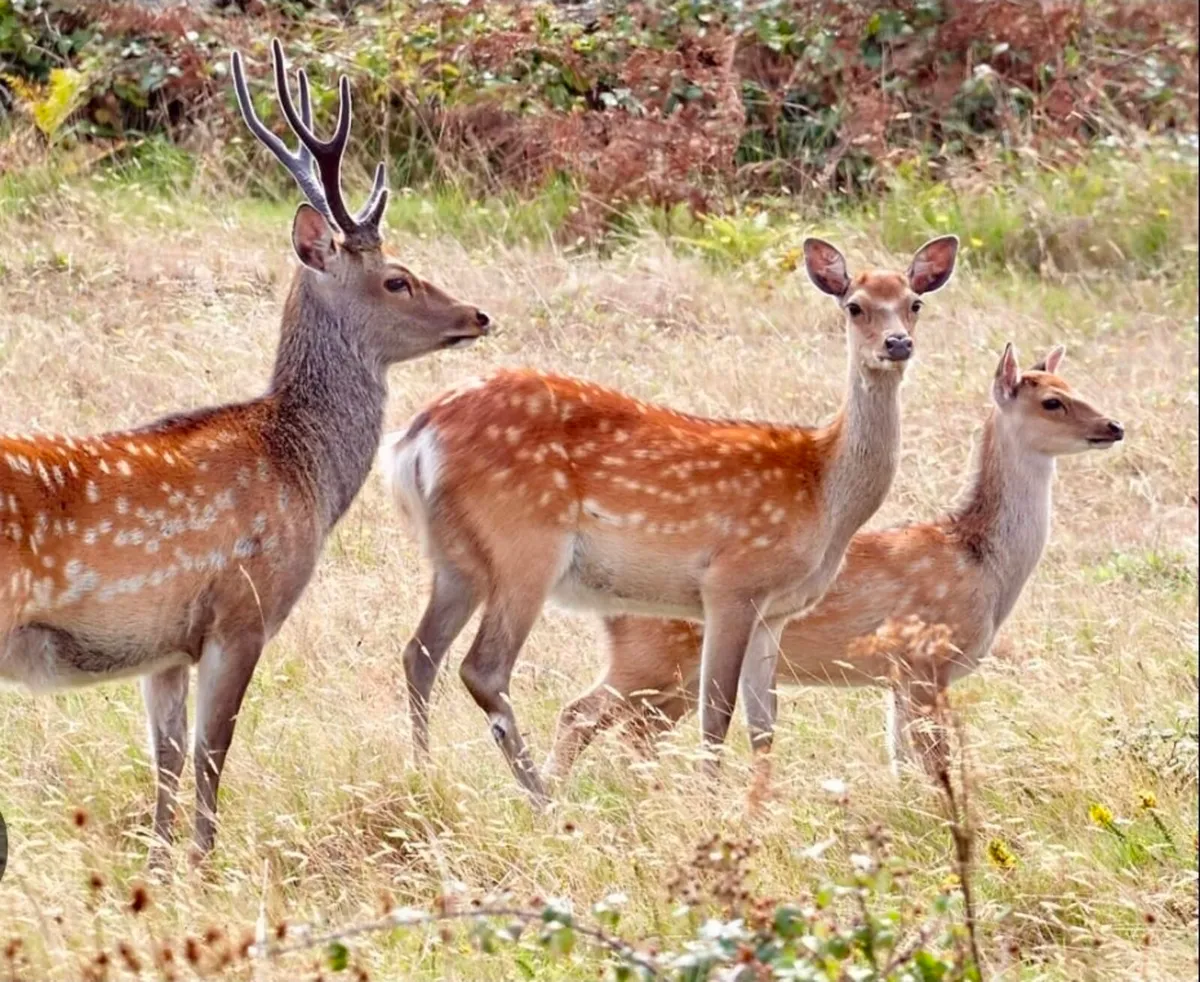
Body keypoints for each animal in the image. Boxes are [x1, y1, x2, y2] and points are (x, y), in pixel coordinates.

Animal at [0, 38, 491, 861]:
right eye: (397, 278)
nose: (478, 314)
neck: (300, 470)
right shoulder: (243, 610)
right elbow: (212, 751)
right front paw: (206, 862)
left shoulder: (163, 646)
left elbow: (165, 758)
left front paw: (162, 863)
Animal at [381, 235, 959, 802]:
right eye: (855, 306)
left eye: (915, 303)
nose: (897, 344)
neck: (826, 490)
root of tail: (414, 437)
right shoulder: (732, 583)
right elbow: (717, 712)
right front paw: (712, 806)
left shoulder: (776, 611)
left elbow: (764, 723)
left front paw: (759, 808)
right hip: (524, 544)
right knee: (483, 668)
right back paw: (542, 798)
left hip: (455, 558)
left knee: (419, 653)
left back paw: (425, 773)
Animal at [542, 343, 1125, 782]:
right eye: (1052, 402)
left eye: (1075, 386)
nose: (1114, 426)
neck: (980, 563)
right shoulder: (925, 665)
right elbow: (934, 764)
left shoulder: (899, 679)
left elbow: (902, 763)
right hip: (648, 657)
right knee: (579, 715)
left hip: (671, 678)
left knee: (637, 733)